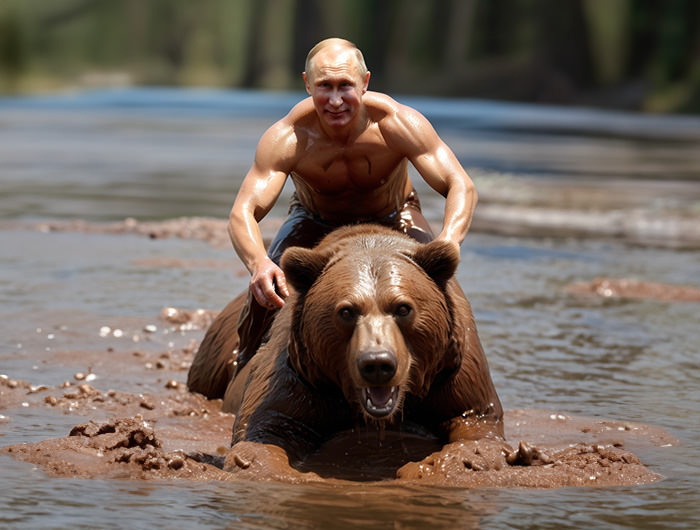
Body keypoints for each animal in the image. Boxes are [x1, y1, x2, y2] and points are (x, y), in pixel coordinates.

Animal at [186, 223, 504, 478]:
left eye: (403, 308)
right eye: (347, 311)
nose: (377, 364)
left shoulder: (452, 370)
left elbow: (476, 421)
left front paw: (457, 461)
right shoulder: (301, 372)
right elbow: (267, 426)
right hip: (219, 346)